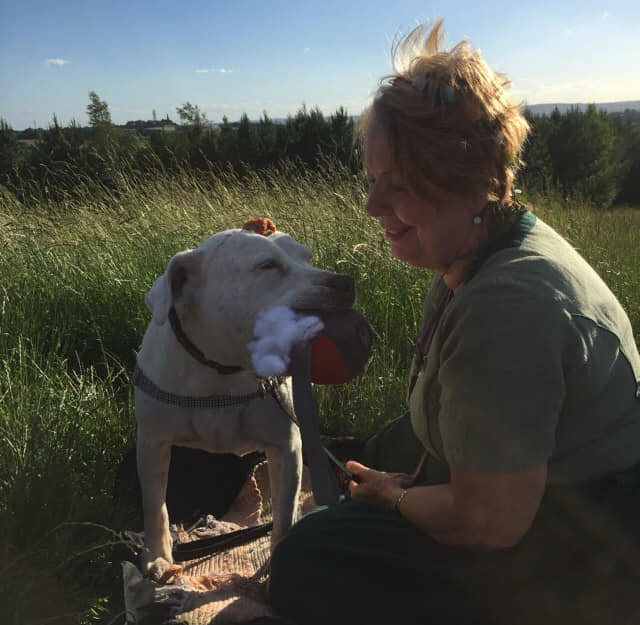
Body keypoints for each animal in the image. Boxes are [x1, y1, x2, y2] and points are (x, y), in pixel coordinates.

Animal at [135, 222, 356, 576]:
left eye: (307, 257)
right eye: (267, 265)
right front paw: (157, 556)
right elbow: (155, 504)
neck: (224, 368)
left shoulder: (285, 448)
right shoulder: (152, 443)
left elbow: (284, 510)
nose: (346, 282)